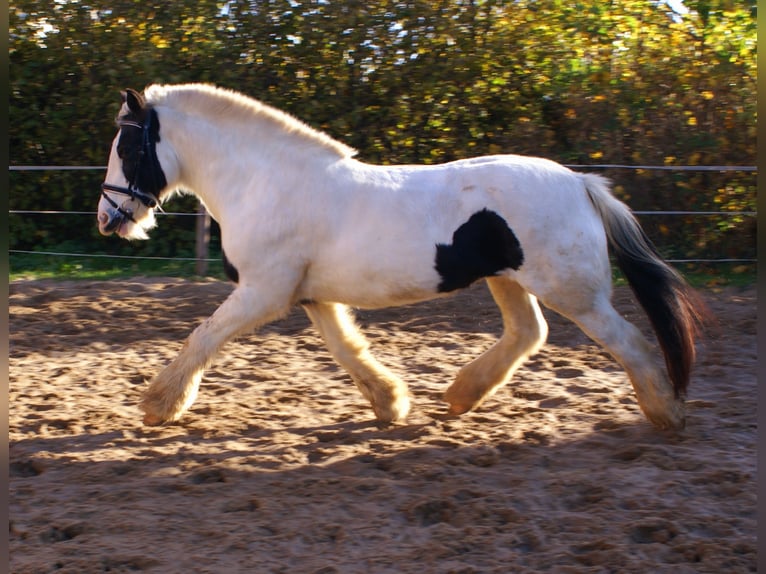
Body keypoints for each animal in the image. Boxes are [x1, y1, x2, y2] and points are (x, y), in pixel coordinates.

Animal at [97, 83, 705, 431]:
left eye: (126, 145)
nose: (108, 218)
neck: (266, 182)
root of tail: (581, 183)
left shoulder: (262, 293)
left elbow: (202, 336)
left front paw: (159, 405)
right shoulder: (311, 296)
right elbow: (347, 350)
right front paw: (391, 404)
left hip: (573, 292)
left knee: (628, 341)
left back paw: (668, 414)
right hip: (510, 280)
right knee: (528, 334)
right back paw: (460, 396)